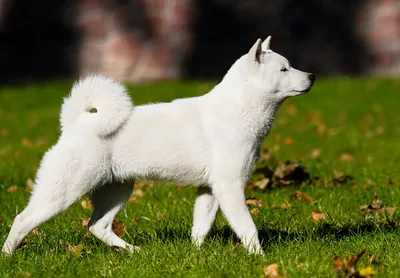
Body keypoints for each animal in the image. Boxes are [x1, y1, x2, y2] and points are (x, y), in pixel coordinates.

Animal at [3, 37, 316, 256]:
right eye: (284, 68)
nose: (312, 76)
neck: (238, 109)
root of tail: (75, 124)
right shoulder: (230, 188)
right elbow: (248, 227)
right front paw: (260, 257)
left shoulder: (209, 191)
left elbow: (200, 228)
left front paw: (194, 255)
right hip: (63, 193)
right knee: (22, 220)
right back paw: (8, 258)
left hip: (117, 190)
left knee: (97, 226)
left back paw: (131, 251)